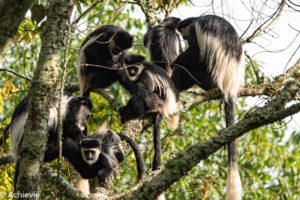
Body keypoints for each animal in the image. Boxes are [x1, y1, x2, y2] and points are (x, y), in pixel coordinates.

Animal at [172, 14, 245, 199]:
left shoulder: (195, 30)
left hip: (208, 76)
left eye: (185, 37)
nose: (184, 39)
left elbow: (194, 52)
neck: (196, 19)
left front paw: (175, 59)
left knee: (193, 62)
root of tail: (229, 87)